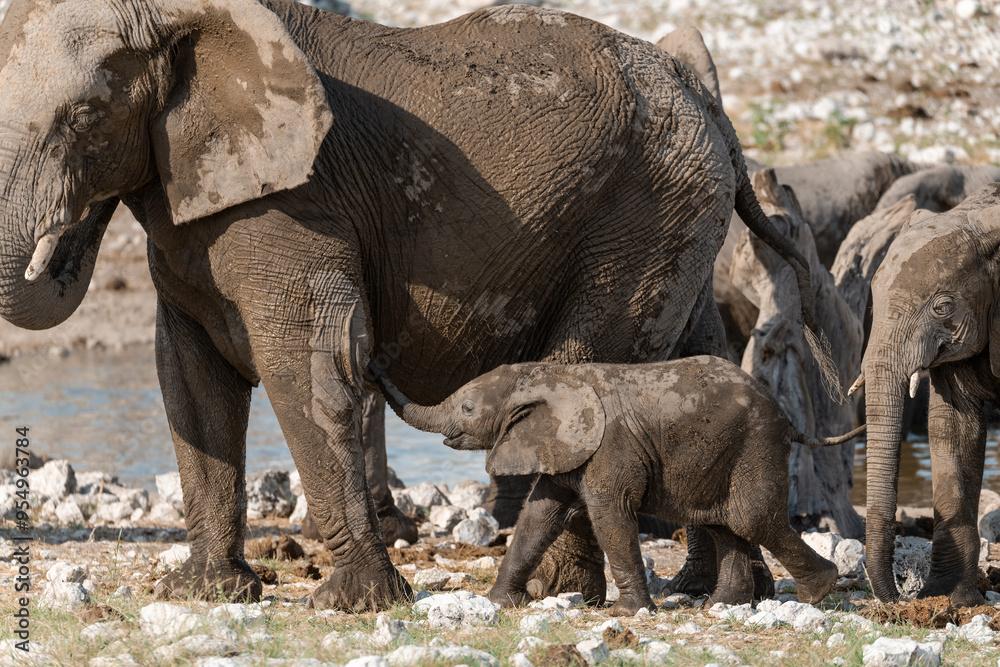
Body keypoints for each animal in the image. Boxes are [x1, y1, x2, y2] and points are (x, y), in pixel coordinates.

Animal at [373, 357, 864, 614]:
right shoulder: (569, 447)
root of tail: (788, 418)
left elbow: (610, 516)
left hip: (754, 445)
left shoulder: (610, 447)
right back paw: (723, 606)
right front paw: (497, 602)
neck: (546, 374)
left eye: (468, 408)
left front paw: (628, 613)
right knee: (725, 524)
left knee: (752, 519)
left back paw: (818, 592)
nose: (372, 362)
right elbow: (539, 515)